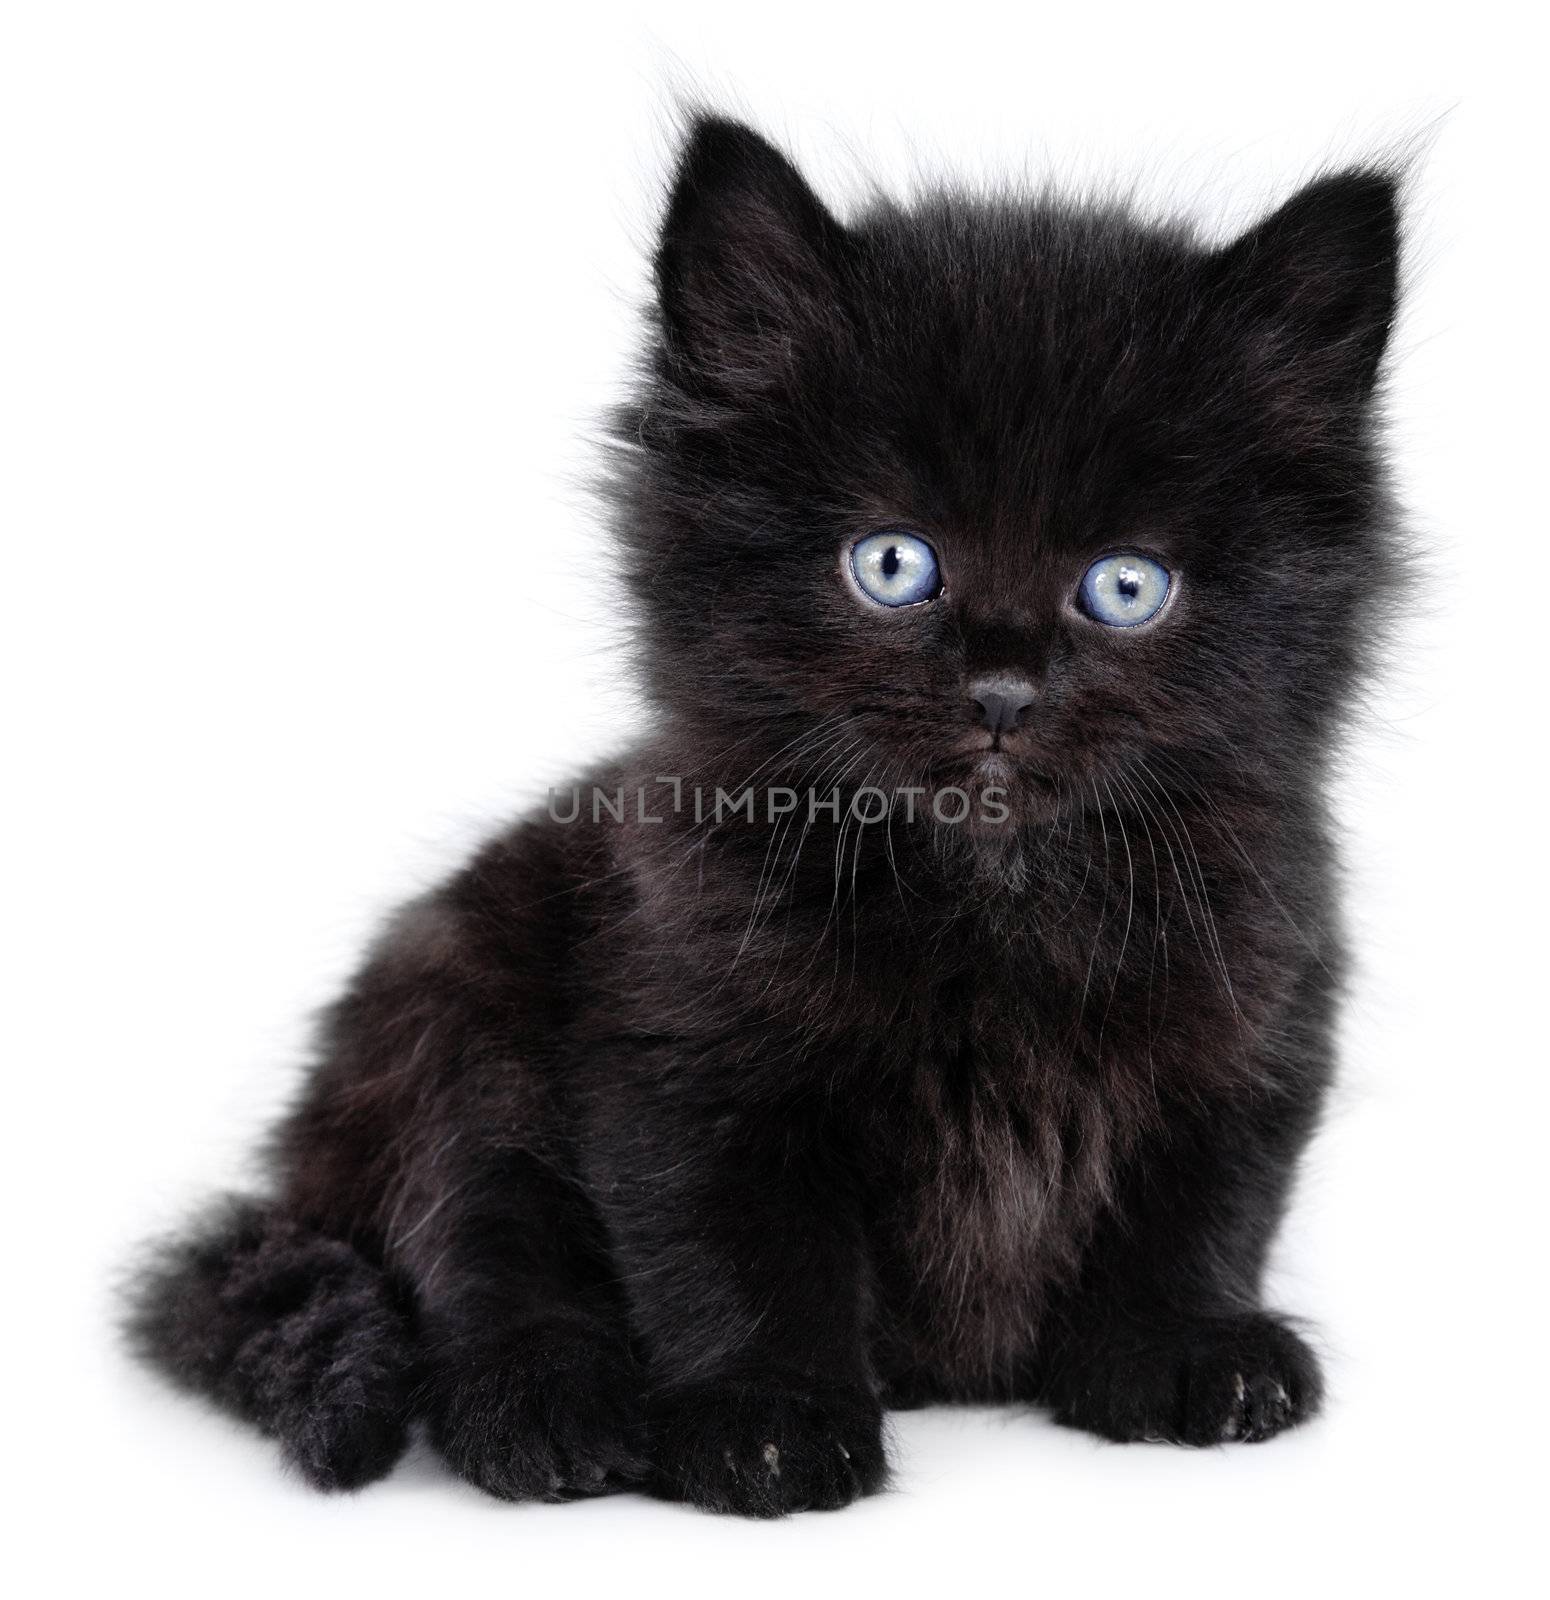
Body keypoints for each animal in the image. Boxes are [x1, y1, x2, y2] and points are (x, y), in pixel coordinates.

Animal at [123, 118, 1401, 1516]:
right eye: (893, 564)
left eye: (1125, 585)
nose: (1002, 686)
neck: (994, 897)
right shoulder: (683, 1043)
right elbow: (734, 1243)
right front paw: (765, 1418)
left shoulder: (1256, 1017)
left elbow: (1197, 1202)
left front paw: (1180, 1346)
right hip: (452, 1014)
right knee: (469, 1239)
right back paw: (546, 1410)